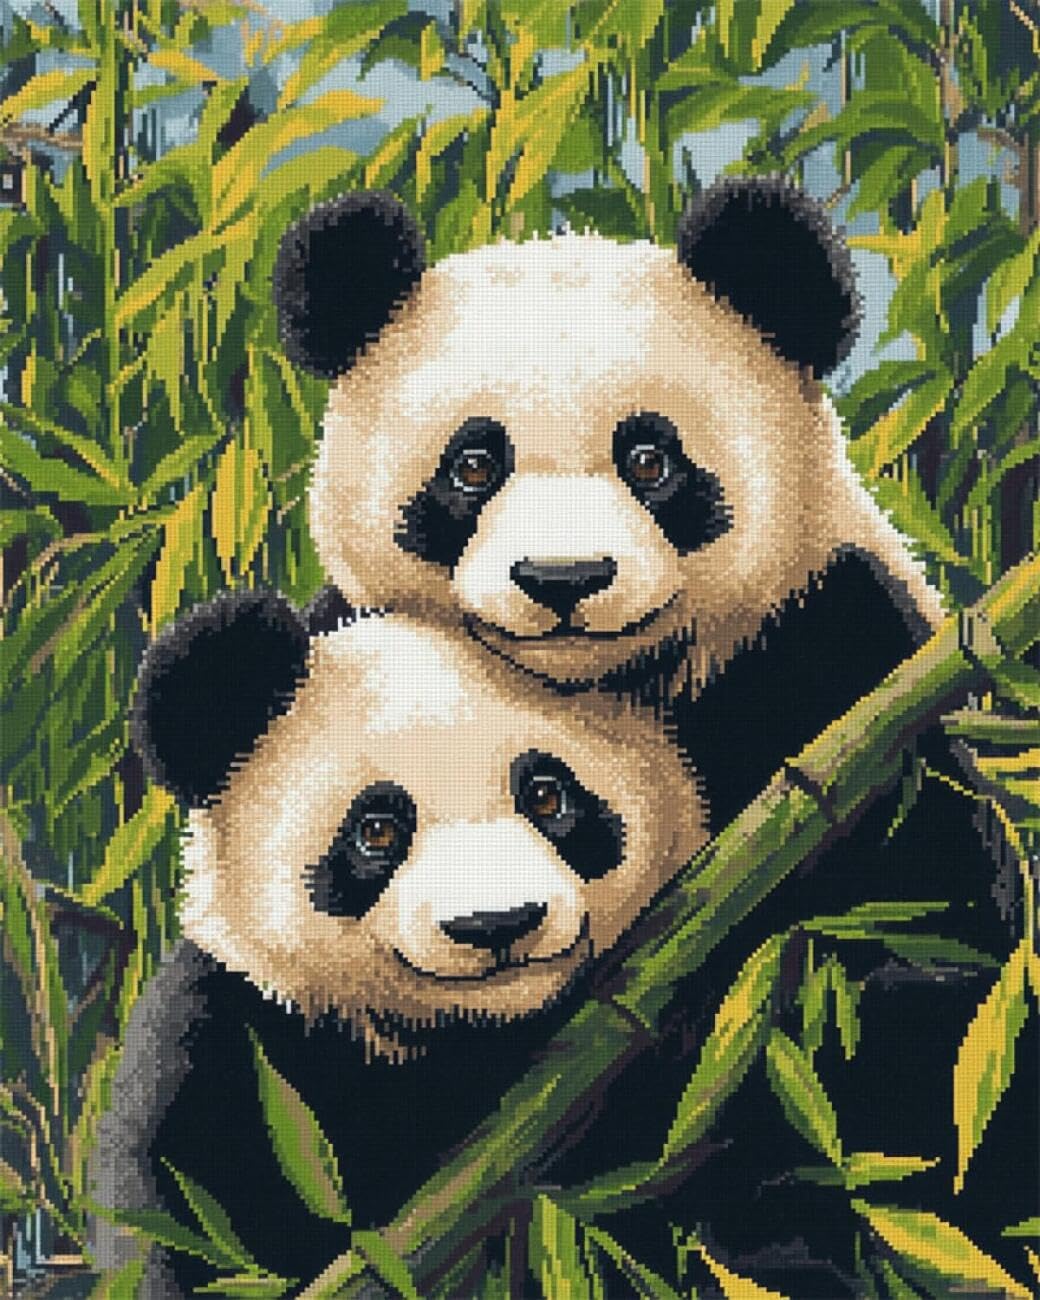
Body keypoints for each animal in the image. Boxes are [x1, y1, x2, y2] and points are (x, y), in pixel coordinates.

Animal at [90, 590, 708, 1294]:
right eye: (377, 830)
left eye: (548, 795)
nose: (497, 923)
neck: (470, 1038)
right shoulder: (237, 1045)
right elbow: (192, 1228)